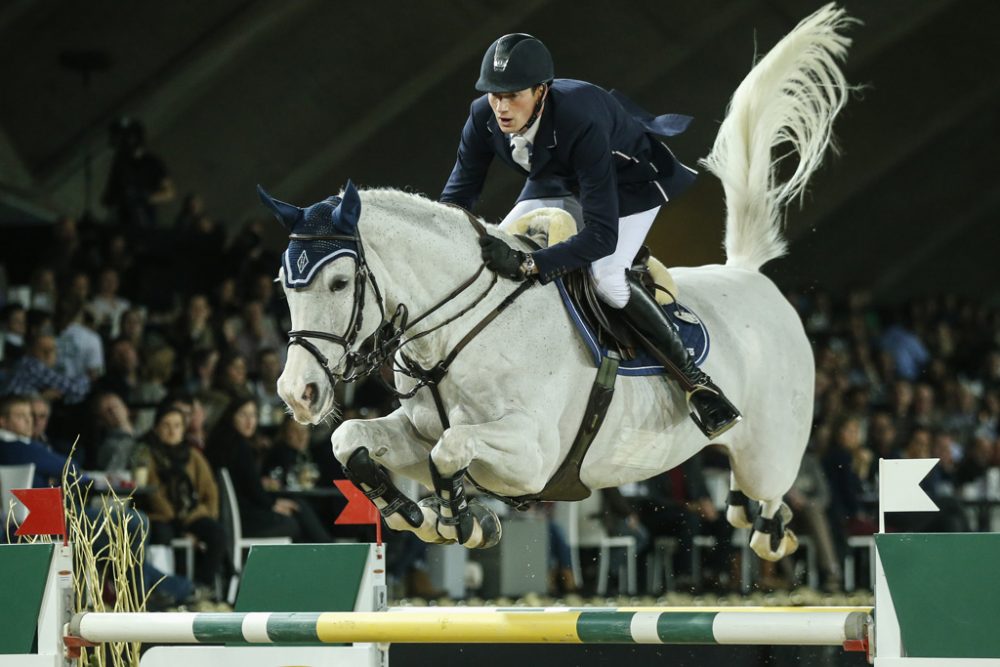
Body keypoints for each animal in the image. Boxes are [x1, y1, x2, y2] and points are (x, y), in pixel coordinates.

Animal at [264, 5, 852, 560]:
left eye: (340, 282)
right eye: (285, 284)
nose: (297, 394)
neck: (457, 339)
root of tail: (748, 273)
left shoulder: (532, 454)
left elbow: (450, 449)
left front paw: (460, 520)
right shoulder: (416, 429)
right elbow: (352, 439)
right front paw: (418, 515)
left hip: (768, 448)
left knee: (769, 497)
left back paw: (766, 520)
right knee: (746, 501)